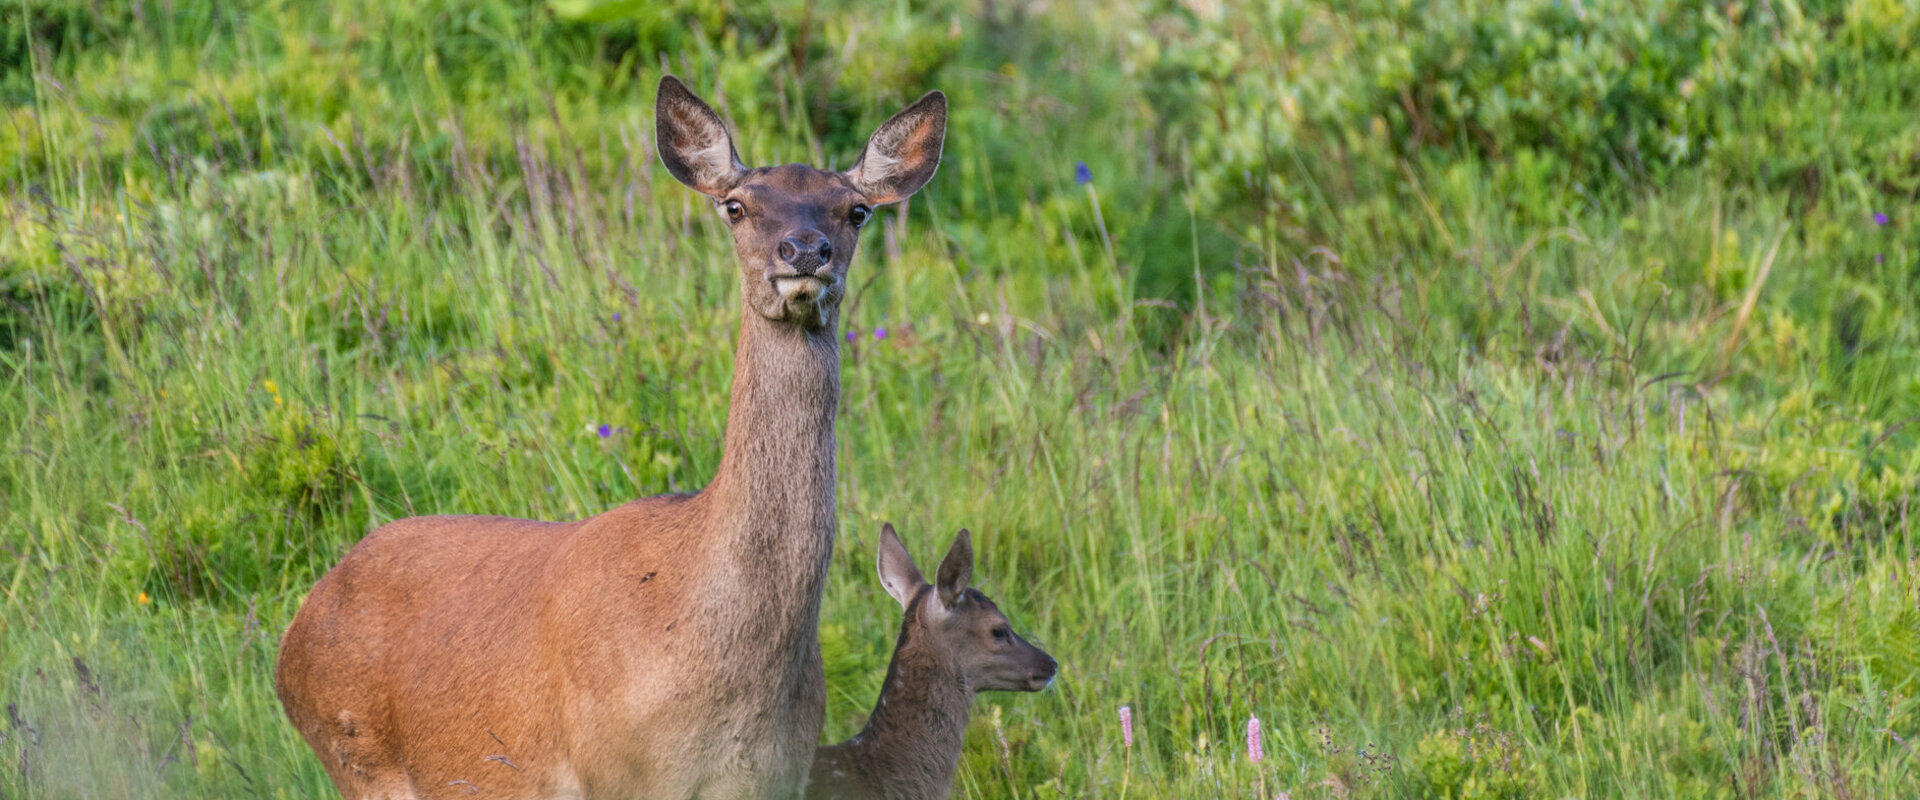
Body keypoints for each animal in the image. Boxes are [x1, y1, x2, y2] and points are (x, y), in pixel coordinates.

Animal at [274, 76, 948, 798]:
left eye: (856, 211)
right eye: (736, 206)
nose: (802, 251)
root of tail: (293, 636)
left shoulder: (776, 775)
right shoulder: (614, 769)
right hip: (358, 756)